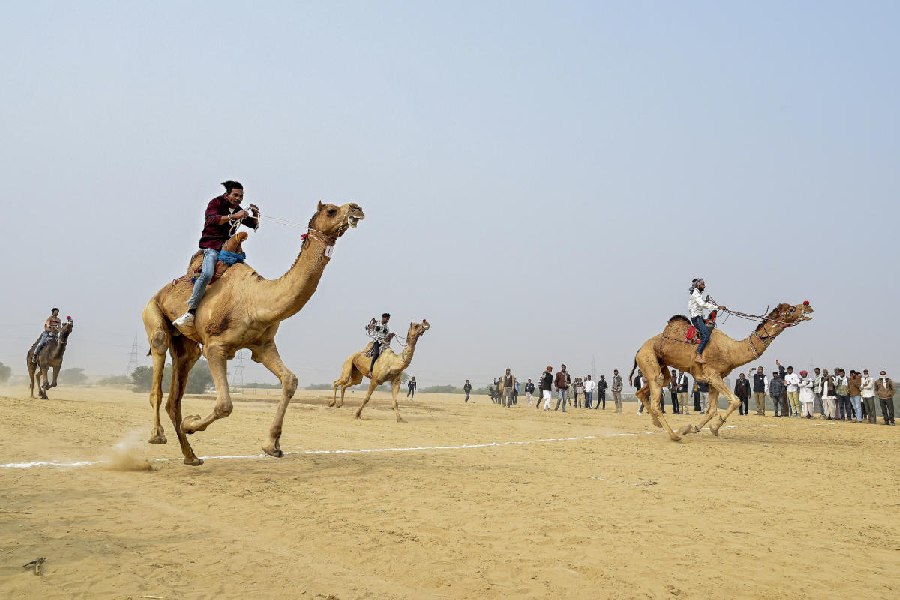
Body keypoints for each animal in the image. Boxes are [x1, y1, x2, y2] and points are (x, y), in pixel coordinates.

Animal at [142, 200, 364, 464]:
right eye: (331, 210)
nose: (357, 208)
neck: (255, 301)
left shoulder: (263, 345)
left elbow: (290, 380)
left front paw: (272, 446)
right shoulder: (215, 347)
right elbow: (224, 405)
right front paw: (191, 424)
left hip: (187, 347)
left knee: (175, 397)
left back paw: (191, 457)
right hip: (153, 314)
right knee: (158, 367)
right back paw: (158, 435)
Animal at [628, 302, 812, 442]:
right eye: (791, 309)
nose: (808, 306)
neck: (730, 350)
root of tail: (638, 350)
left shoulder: (715, 378)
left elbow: (712, 409)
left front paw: (694, 428)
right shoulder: (713, 375)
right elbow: (736, 401)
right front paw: (711, 428)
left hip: (661, 366)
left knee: (647, 389)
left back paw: (657, 423)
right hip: (648, 358)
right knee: (656, 395)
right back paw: (674, 435)